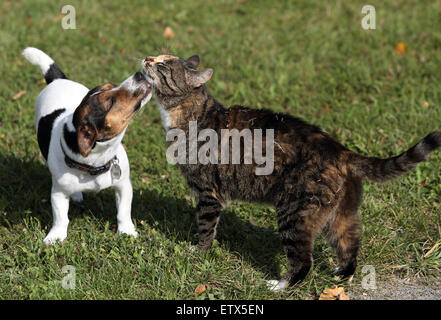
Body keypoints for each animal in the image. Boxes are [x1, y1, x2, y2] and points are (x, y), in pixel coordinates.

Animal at [22, 46, 151, 244]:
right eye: (110, 103)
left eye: (110, 85)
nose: (138, 74)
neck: (96, 161)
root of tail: (58, 80)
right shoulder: (58, 192)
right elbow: (60, 217)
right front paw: (55, 236)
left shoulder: (123, 185)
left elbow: (123, 211)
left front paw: (127, 231)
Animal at [142, 53, 440, 288]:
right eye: (157, 56)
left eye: (163, 64)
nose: (146, 58)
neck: (188, 113)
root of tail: (340, 149)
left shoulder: (208, 193)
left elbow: (205, 229)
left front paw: (198, 253)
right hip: (340, 214)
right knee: (349, 243)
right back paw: (341, 276)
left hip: (294, 214)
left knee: (304, 261)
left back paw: (281, 285)